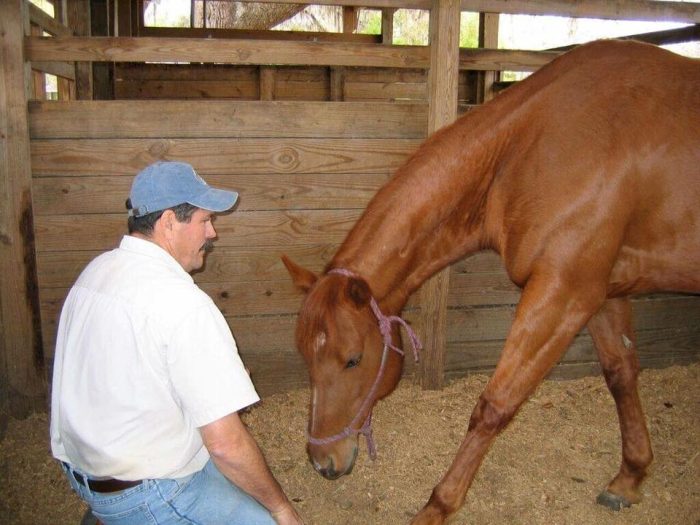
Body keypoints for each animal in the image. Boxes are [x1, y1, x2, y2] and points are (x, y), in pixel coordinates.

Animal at [282, 39, 700, 524]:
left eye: (353, 360)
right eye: (305, 356)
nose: (322, 462)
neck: (529, 149)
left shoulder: (564, 292)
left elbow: (494, 406)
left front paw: (437, 506)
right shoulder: (602, 293)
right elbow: (622, 374)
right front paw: (629, 477)